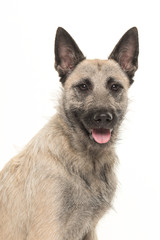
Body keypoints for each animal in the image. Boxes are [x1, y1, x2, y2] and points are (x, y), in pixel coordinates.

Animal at [0, 27, 138, 239]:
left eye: (115, 87)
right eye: (83, 86)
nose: (103, 117)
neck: (87, 160)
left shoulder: (89, 229)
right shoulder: (47, 230)